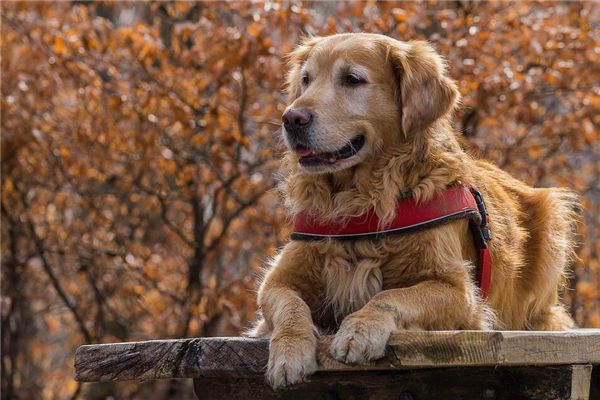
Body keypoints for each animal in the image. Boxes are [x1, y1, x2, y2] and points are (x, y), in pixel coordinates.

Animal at [248, 32, 576, 390]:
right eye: (306, 80)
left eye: (352, 79)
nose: (291, 118)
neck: (361, 202)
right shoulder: (277, 281)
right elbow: (290, 305)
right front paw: (289, 352)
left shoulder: (459, 291)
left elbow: (391, 296)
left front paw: (359, 330)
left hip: (553, 217)